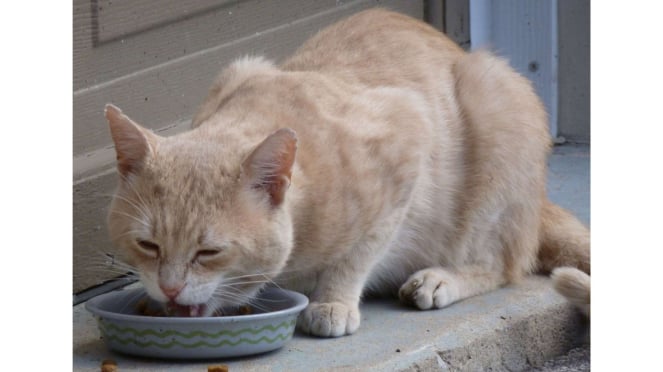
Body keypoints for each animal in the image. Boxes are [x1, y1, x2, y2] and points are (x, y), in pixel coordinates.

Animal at [104, 9, 592, 338]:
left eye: (209, 252)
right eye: (147, 245)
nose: (169, 289)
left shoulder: (408, 140)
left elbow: (358, 254)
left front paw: (332, 302)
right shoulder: (239, 68)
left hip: (496, 108)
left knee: (502, 264)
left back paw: (441, 279)